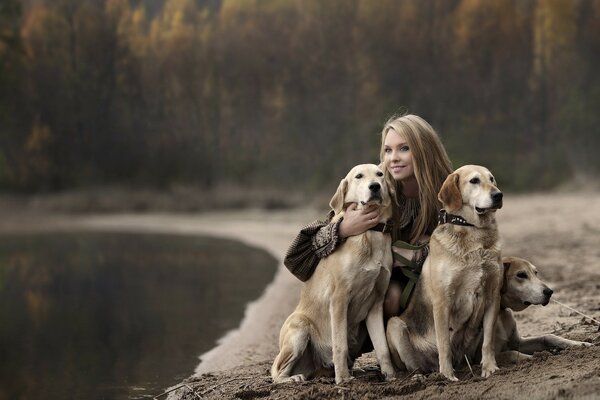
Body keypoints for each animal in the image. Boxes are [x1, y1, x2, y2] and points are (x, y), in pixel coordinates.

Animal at [272, 163, 398, 384]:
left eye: (380, 174)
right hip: (299, 329)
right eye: (359, 176)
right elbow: (340, 345)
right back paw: (292, 378)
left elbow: (383, 348)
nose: (375, 186)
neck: (370, 232)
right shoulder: (339, 299)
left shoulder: (376, 304)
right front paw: (343, 380)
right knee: (277, 372)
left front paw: (391, 377)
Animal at [384, 165, 502, 382]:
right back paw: (423, 376)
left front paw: (490, 368)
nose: (498, 195)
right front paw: (447, 375)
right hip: (394, 325)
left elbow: (488, 341)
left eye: (491, 179)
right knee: (415, 366)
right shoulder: (442, 301)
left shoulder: (492, 296)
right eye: (474, 181)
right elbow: (444, 344)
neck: (473, 231)